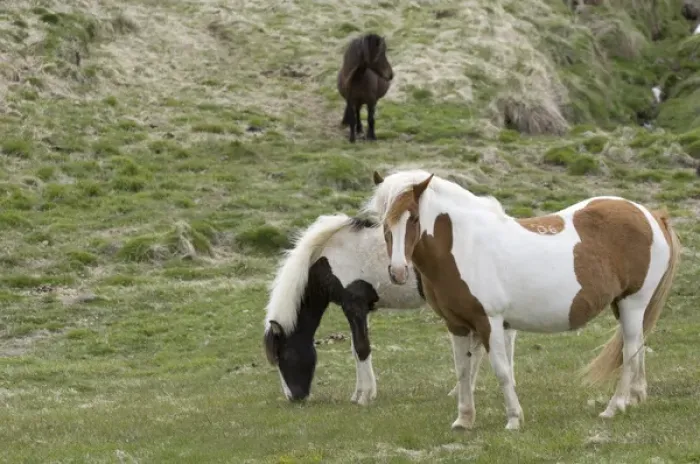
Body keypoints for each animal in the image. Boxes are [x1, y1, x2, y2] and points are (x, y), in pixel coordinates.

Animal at [262, 212, 518, 405]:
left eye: (284, 356)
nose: (294, 398)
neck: (331, 257)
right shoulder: (358, 310)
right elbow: (355, 349)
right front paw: (357, 394)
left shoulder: (354, 306)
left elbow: (362, 348)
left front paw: (365, 396)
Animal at [366, 169, 681, 431]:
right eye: (383, 221)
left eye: (414, 218)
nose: (397, 271)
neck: (464, 245)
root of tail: (651, 215)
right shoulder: (457, 325)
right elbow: (463, 372)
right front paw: (464, 420)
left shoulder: (490, 322)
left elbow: (502, 371)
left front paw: (514, 419)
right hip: (624, 306)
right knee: (637, 347)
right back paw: (635, 397)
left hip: (633, 303)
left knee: (629, 352)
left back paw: (614, 407)